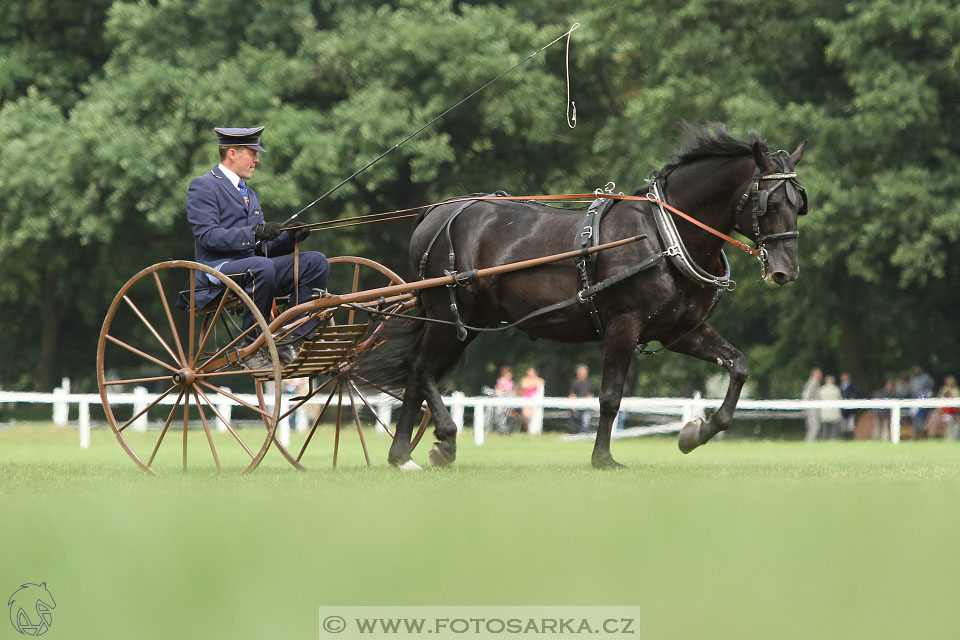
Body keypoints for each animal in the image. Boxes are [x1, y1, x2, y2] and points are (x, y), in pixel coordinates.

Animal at [364, 125, 808, 468]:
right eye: (769, 202)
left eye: (798, 202)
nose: (786, 269)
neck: (665, 236)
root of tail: (436, 212)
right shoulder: (624, 325)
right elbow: (610, 396)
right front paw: (603, 458)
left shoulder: (681, 330)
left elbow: (738, 366)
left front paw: (696, 432)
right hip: (446, 311)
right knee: (420, 369)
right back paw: (442, 438)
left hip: (470, 322)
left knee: (417, 375)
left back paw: (402, 455)